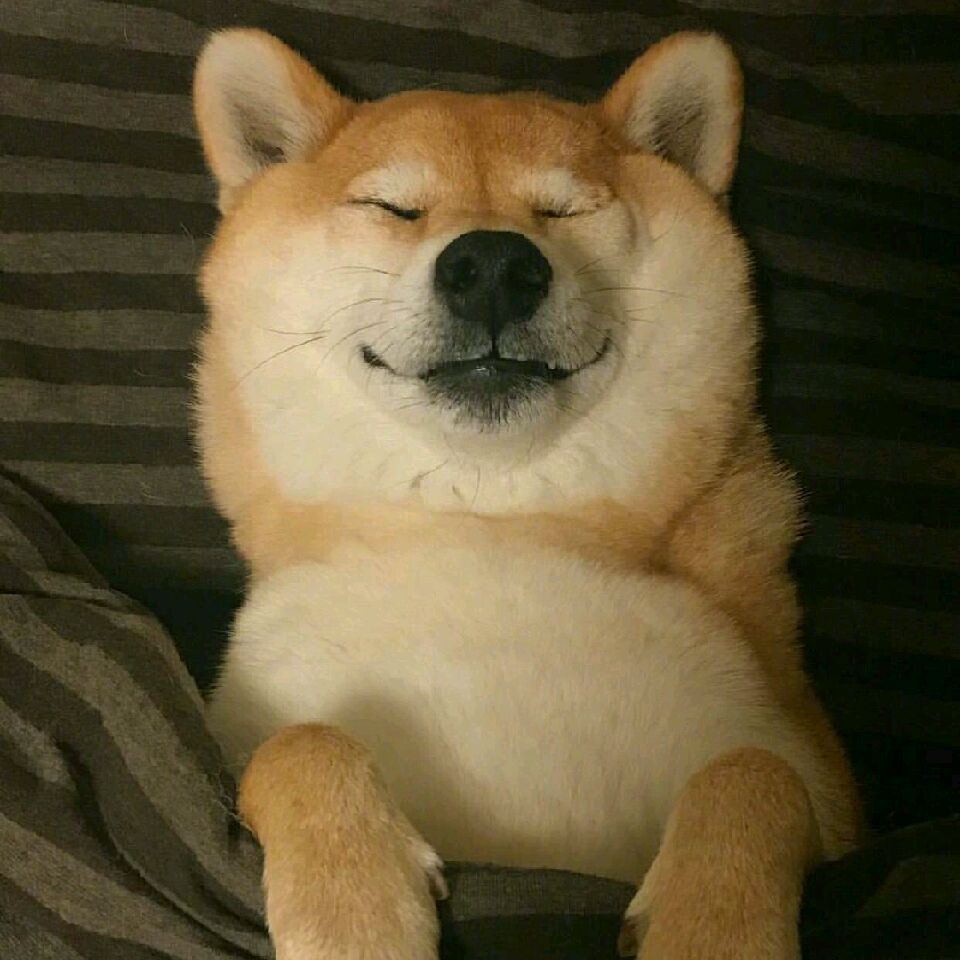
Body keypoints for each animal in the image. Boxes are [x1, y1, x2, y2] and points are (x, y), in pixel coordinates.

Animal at [192, 28, 861, 959]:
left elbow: (753, 774)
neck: (491, 529)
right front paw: (354, 914)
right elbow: (300, 742)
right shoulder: (261, 723)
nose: (494, 266)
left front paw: (713, 928)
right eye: (392, 207)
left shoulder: (807, 772)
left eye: (564, 211)